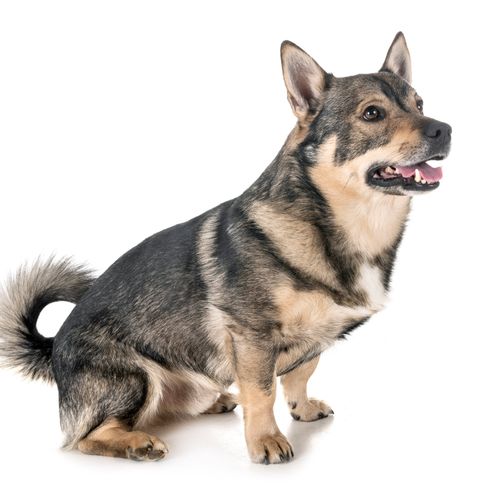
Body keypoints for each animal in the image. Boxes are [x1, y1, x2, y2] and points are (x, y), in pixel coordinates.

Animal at [0, 33, 452, 464]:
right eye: (372, 113)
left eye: (420, 103)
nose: (444, 129)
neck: (336, 222)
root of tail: (53, 349)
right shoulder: (252, 337)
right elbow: (262, 391)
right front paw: (266, 440)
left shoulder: (311, 340)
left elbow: (302, 371)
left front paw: (302, 408)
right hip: (134, 378)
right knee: (88, 436)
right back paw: (137, 444)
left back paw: (212, 402)